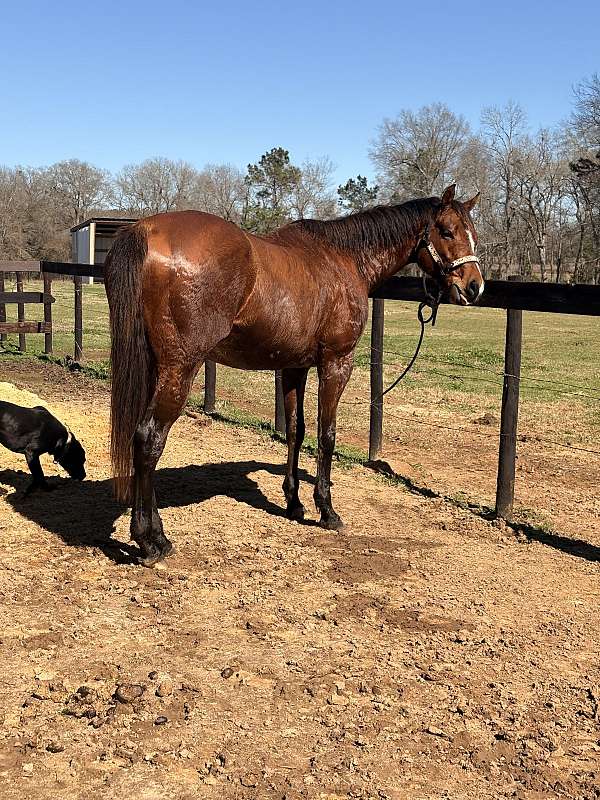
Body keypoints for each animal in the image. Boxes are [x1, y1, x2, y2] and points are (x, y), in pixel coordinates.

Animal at [104, 184, 483, 566]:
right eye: (446, 231)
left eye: (473, 234)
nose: (474, 287)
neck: (343, 259)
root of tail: (145, 230)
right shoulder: (336, 363)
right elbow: (326, 434)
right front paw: (327, 511)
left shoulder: (293, 367)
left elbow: (296, 431)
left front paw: (294, 503)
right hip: (180, 368)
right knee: (149, 439)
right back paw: (152, 541)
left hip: (156, 367)